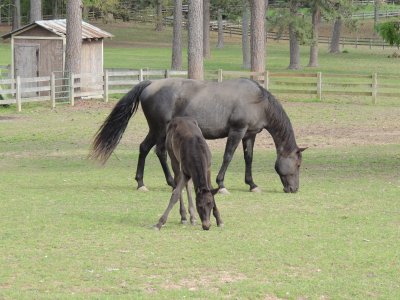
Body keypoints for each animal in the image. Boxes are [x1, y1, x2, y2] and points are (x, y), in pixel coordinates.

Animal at [90, 78, 306, 193]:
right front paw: (221, 185)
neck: (258, 101)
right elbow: (228, 156)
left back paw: (143, 183)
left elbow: (248, 158)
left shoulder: (249, 135)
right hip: (160, 129)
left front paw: (252, 184)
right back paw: (167, 182)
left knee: (145, 148)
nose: (294, 189)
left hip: (156, 130)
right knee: (159, 151)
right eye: (297, 165)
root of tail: (151, 84)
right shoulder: (237, 131)